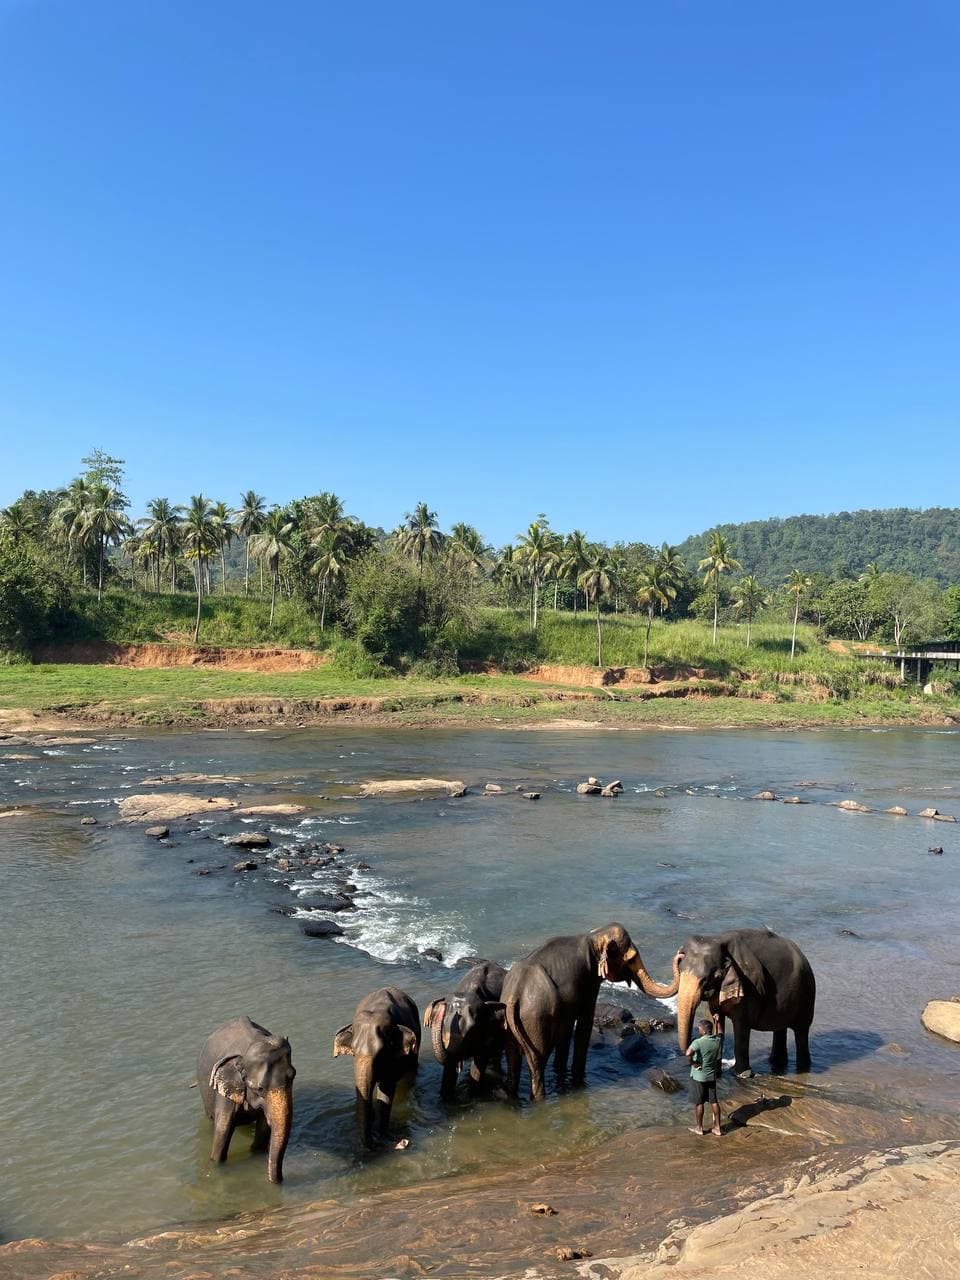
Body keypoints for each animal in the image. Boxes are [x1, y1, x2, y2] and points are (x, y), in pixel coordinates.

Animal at [197, 1013, 295, 1182]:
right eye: (259, 1089)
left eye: (293, 1077)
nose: (279, 1181)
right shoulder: (224, 1091)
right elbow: (223, 1129)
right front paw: (215, 1163)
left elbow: (263, 1129)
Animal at [424, 962, 506, 1100]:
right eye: (442, 1034)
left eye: (471, 1030)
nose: (442, 1004)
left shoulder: (487, 1032)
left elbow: (479, 1062)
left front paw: (474, 1095)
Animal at [504, 921, 686, 1100]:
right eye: (632, 958)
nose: (681, 954)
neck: (594, 936)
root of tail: (515, 994)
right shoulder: (588, 979)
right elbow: (585, 1023)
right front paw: (578, 1082)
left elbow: (567, 1030)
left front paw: (561, 1072)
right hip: (536, 1019)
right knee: (537, 1064)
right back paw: (540, 1099)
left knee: (514, 1059)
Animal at [675, 926, 819, 1075]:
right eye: (680, 970)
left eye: (713, 977)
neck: (718, 939)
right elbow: (711, 1014)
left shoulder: (750, 987)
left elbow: (741, 1025)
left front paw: (743, 1074)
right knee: (780, 1028)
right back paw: (777, 1063)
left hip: (807, 994)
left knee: (801, 1032)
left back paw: (803, 1068)